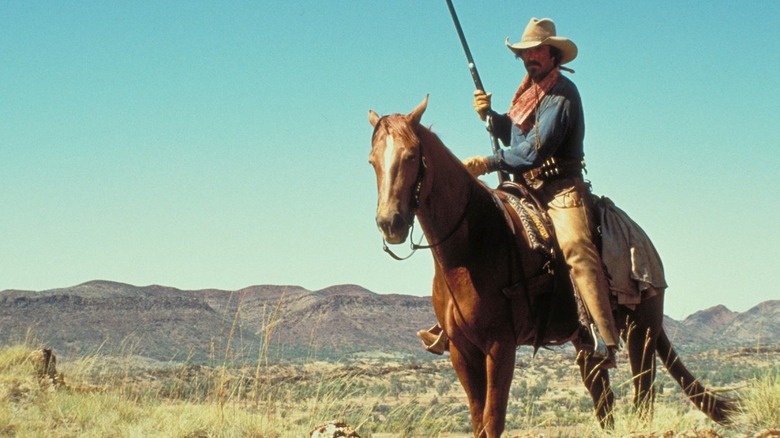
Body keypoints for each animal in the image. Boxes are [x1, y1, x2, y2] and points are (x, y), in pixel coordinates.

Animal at [368, 95, 736, 434]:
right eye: (372, 161)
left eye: (410, 156)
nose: (390, 223)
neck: (468, 250)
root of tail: (643, 240)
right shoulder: (462, 351)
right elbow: (478, 421)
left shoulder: (501, 346)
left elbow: (493, 421)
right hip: (587, 343)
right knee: (604, 402)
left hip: (641, 331)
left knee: (643, 396)